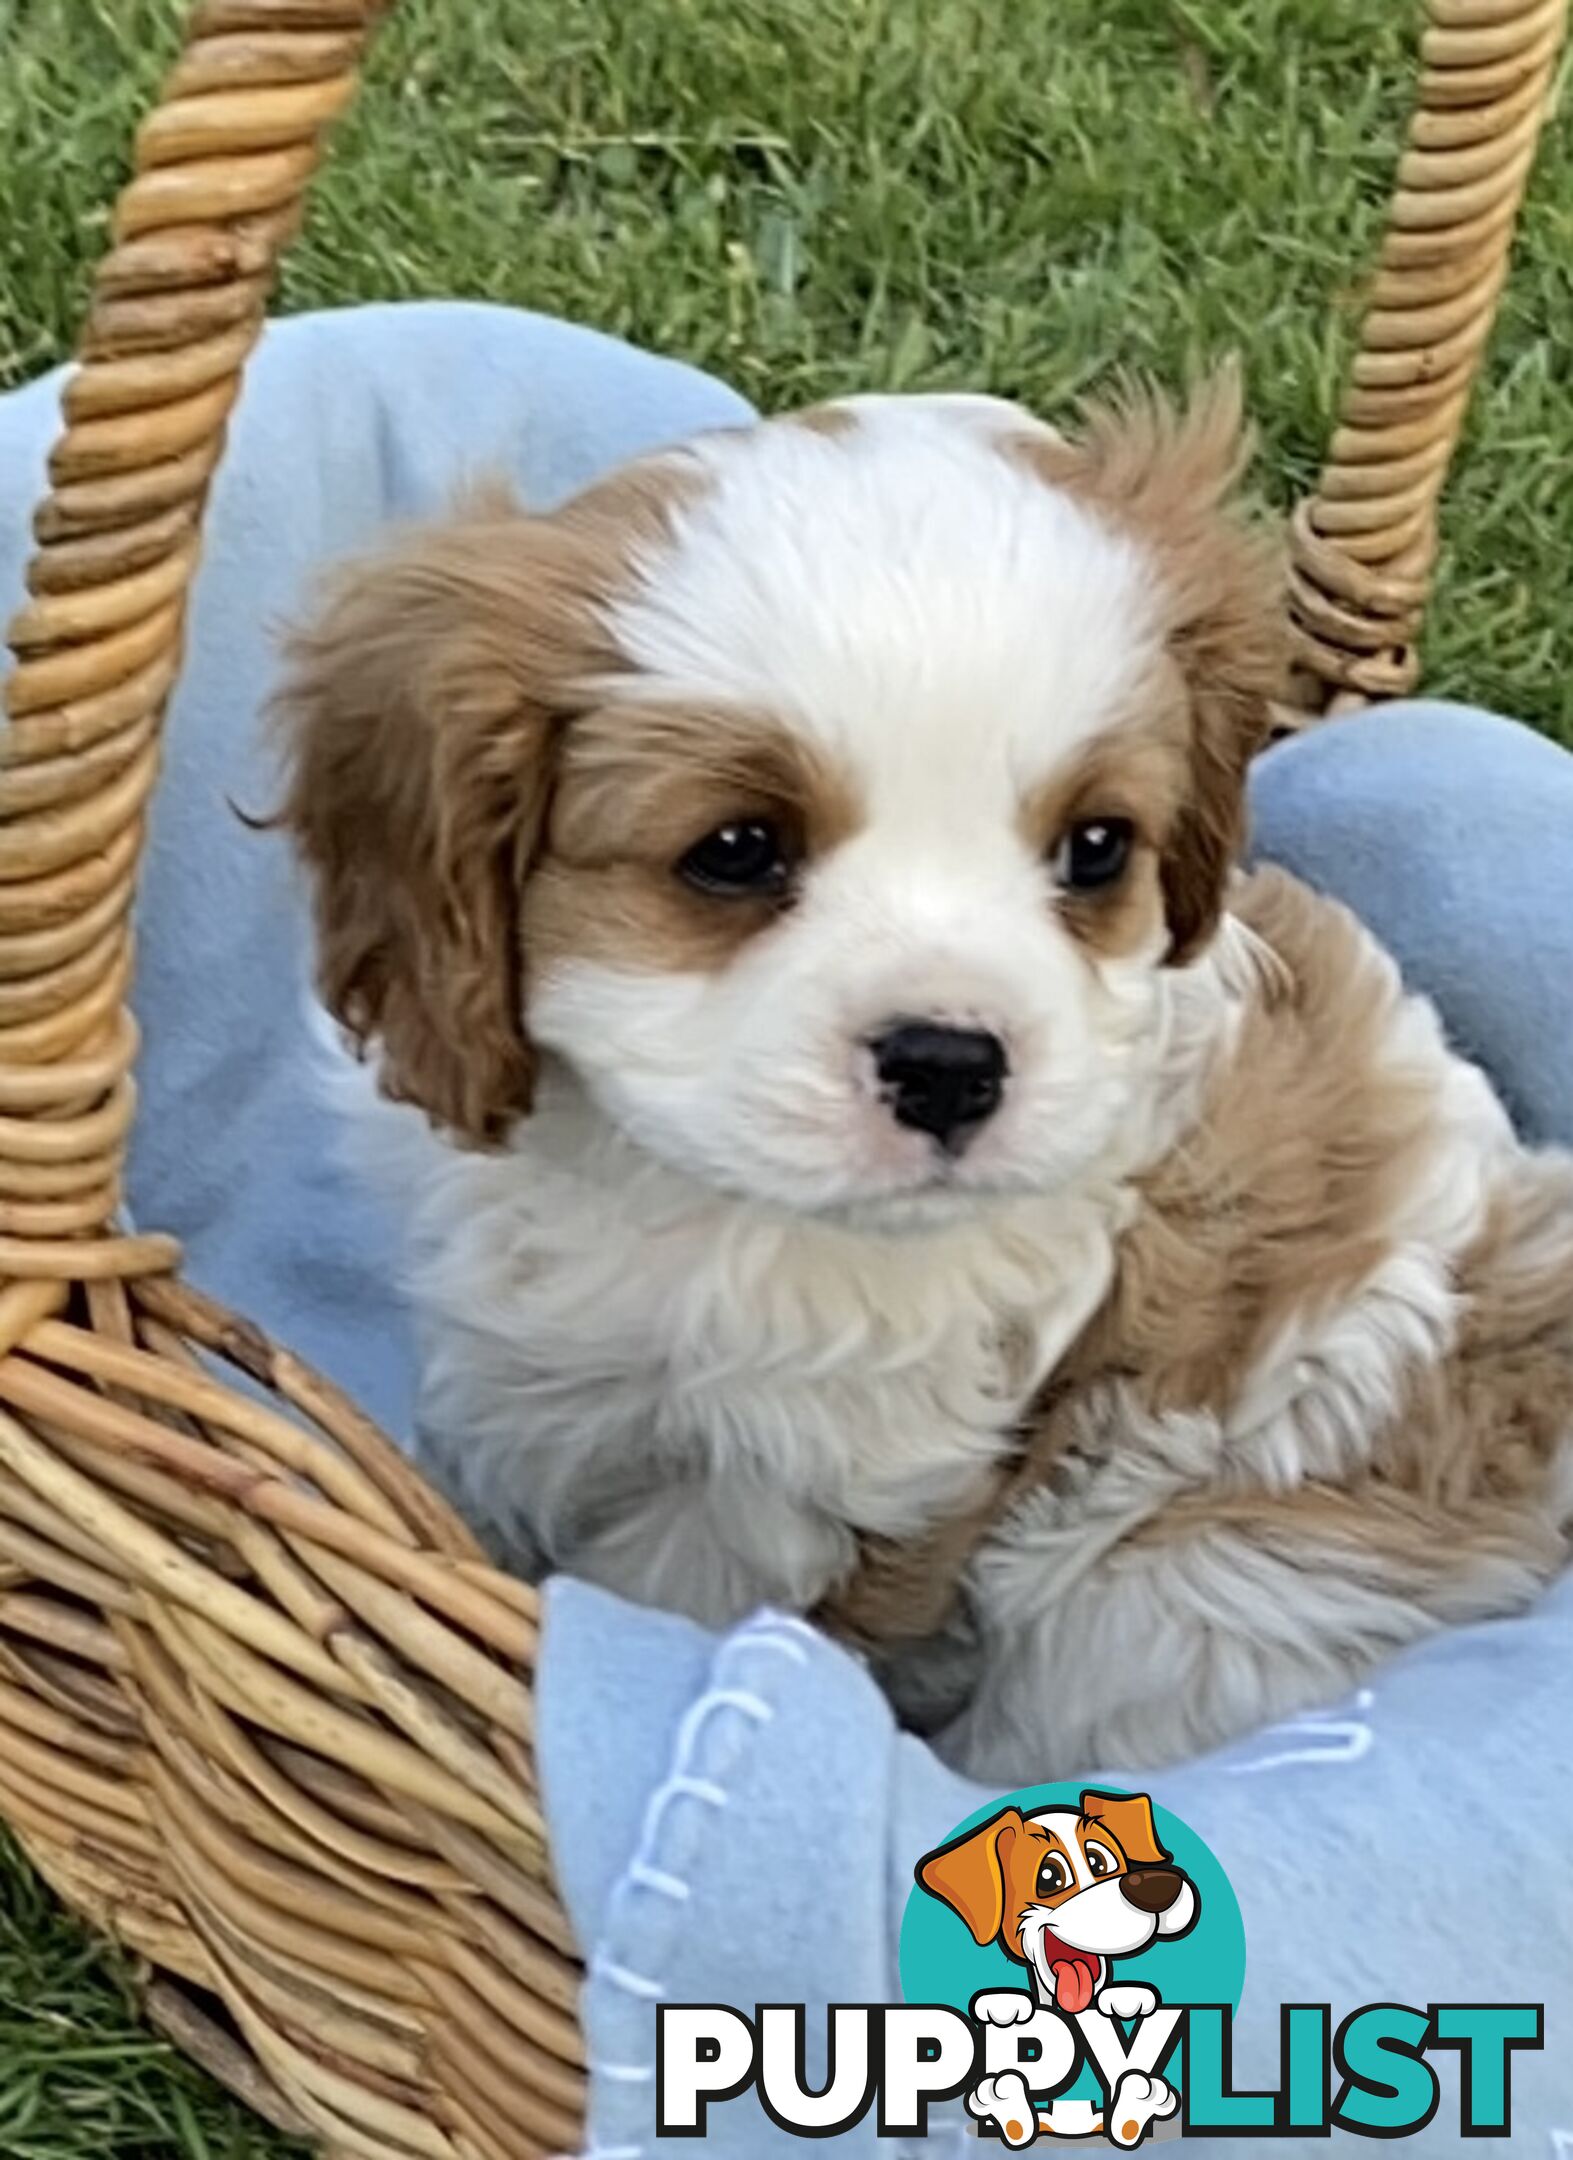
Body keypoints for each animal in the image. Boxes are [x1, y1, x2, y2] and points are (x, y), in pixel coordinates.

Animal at [276, 380, 1573, 1779]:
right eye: (736, 849)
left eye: (1096, 847)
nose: (951, 1066)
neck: (694, 1199)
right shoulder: (511, 1369)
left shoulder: (808, 1491)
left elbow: (671, 1604)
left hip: (1179, 1600)